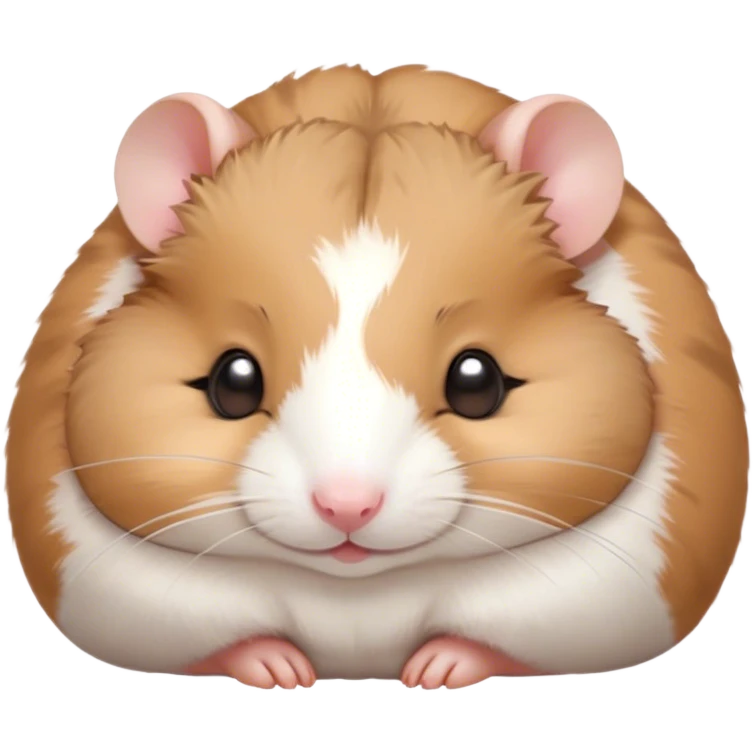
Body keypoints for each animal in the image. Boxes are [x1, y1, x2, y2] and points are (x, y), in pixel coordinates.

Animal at [4, 64, 749, 690]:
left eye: (476, 382)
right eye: (232, 382)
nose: (346, 507)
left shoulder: (614, 588)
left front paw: (435, 670)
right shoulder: (117, 591)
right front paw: (280, 670)